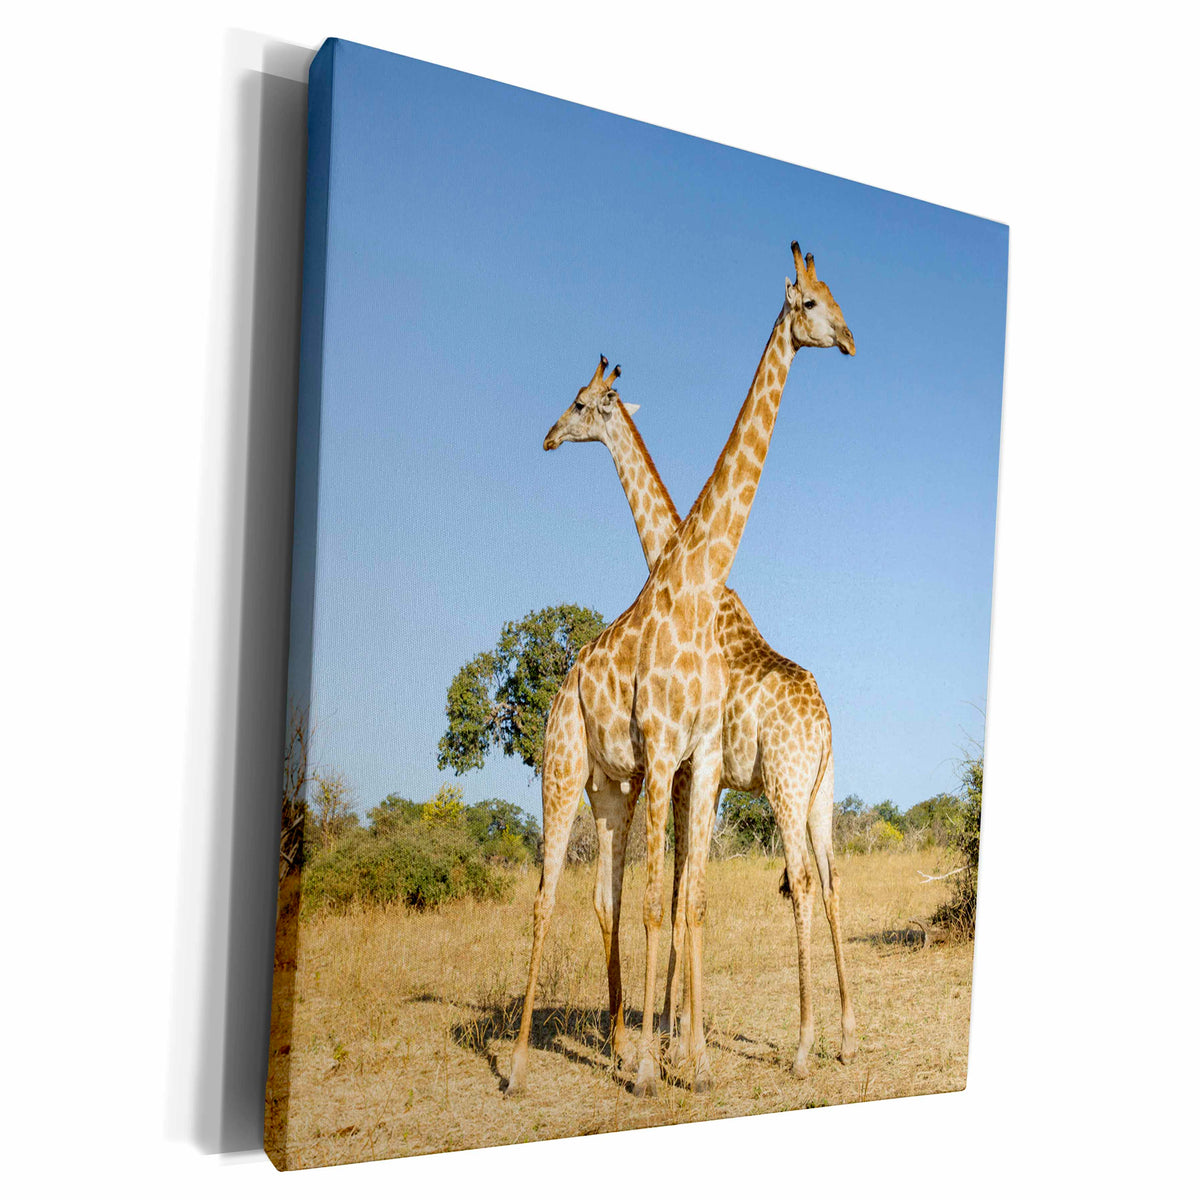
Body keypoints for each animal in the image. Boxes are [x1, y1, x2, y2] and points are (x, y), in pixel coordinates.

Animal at [506, 243, 854, 1097]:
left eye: (581, 401)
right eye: (812, 301)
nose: (549, 435)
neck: (687, 569)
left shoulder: (693, 762)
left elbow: (680, 896)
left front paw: (670, 1055)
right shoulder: (684, 762)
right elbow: (676, 897)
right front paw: (667, 1055)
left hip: (740, 788)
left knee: (796, 886)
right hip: (581, 775)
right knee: (553, 895)